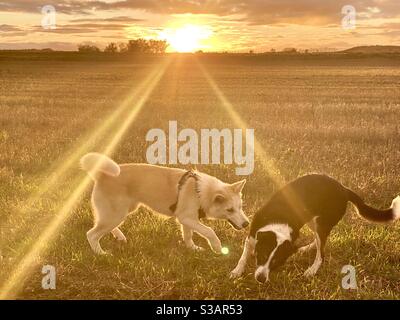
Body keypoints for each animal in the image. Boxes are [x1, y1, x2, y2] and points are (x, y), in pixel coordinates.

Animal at [79, 152, 248, 255]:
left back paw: (119, 237)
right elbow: (209, 231)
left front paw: (192, 248)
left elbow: (188, 235)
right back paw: (101, 253)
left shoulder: (187, 219)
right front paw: (217, 247)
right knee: (91, 234)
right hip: (116, 214)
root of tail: (101, 174)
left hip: (121, 211)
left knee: (101, 226)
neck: (199, 191)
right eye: (230, 210)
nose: (246, 224)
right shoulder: (187, 218)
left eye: (240, 207)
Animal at [230, 175, 398, 282]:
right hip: (313, 221)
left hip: (322, 222)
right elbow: (243, 257)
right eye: (263, 256)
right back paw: (305, 248)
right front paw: (237, 271)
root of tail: (344, 189)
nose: (261, 279)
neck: (279, 221)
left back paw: (312, 269)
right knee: (318, 242)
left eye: (276, 262)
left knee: (321, 252)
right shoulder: (252, 236)